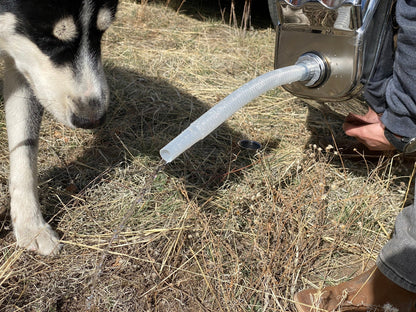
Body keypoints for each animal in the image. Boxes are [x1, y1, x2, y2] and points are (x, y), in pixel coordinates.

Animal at [0, 0, 118, 256]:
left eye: (102, 32)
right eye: (46, 38)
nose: (92, 119)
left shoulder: (24, 69)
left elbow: (25, 153)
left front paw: (31, 225)